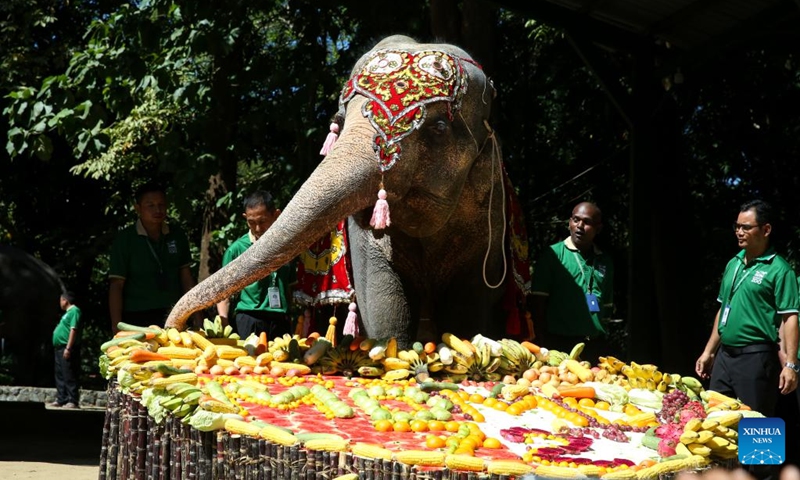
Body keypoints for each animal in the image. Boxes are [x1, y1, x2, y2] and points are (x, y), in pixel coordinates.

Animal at [166, 35, 530, 347]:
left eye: (439, 128)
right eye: (339, 120)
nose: (179, 327)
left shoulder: (487, 214)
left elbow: (468, 306)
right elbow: (382, 299)